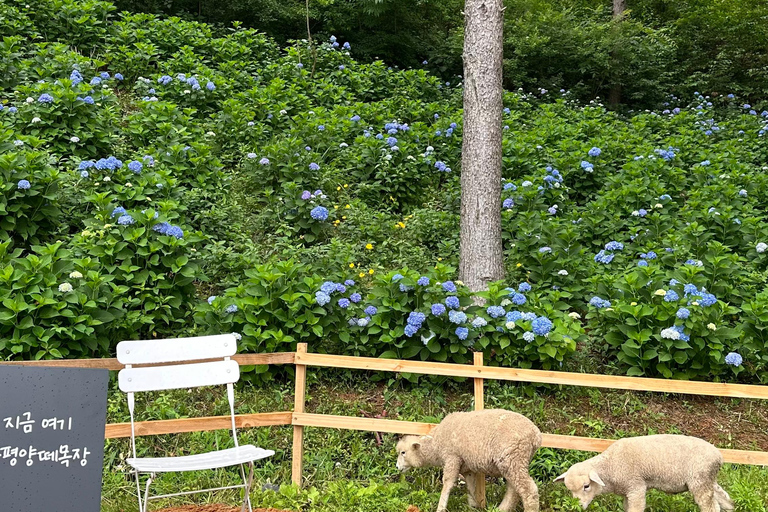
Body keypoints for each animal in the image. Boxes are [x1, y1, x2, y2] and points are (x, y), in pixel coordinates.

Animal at [396, 409, 542, 512]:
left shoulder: (452, 458)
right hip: (512, 461)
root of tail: (536, 435)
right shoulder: (467, 468)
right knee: (514, 489)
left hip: (513, 458)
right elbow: (471, 486)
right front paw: (472, 507)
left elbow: (447, 483)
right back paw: (501, 509)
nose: (397, 467)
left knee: (529, 490)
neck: (435, 446)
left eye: (403, 452)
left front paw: (441, 508)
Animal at [554, 434, 734, 512]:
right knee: (724, 500)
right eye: (569, 490)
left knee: (711, 507)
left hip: (700, 481)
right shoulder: (627, 492)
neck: (610, 466)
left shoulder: (636, 488)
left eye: (586, 486)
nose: (577, 506)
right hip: (708, 480)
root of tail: (719, 456)